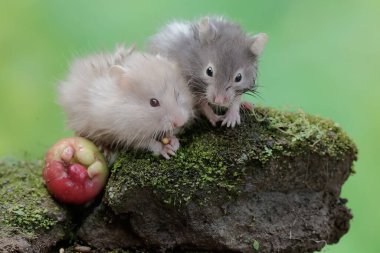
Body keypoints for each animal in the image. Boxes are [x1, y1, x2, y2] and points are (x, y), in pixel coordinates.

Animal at [58, 45, 194, 159]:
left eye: (177, 94)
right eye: (153, 102)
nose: (181, 122)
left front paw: (175, 143)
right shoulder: (127, 134)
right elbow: (148, 142)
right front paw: (167, 151)